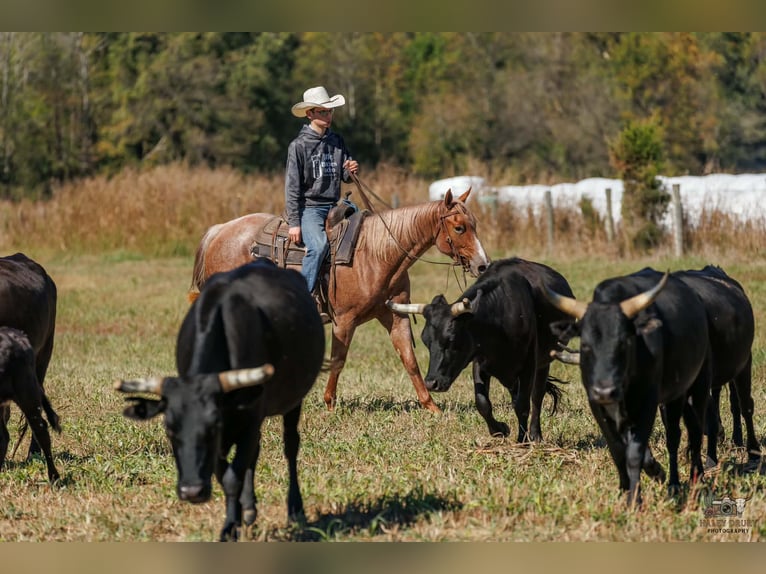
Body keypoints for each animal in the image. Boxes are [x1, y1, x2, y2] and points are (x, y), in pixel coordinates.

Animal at [188, 189, 490, 413]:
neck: (376, 254)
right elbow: (338, 360)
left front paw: (431, 407)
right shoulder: (344, 321)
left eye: (475, 225)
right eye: (460, 228)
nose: (483, 265)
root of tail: (219, 231)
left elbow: (409, 360)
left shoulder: (395, 316)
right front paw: (330, 404)